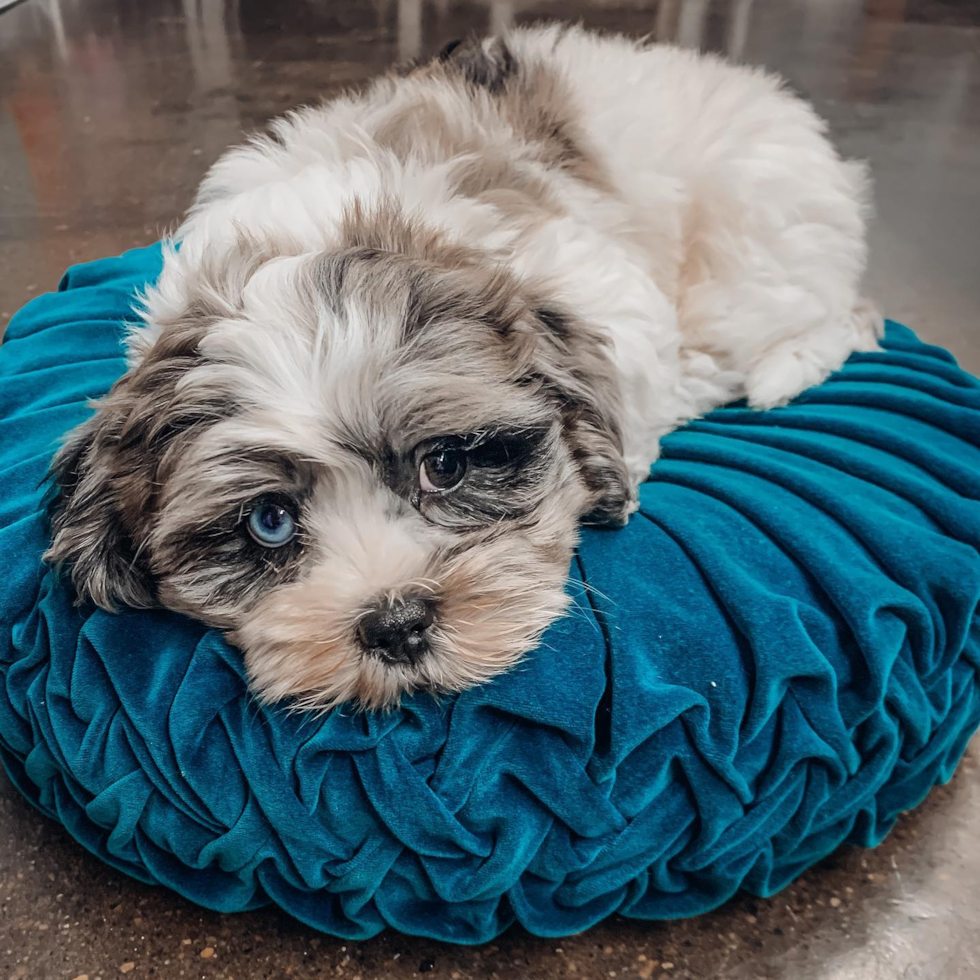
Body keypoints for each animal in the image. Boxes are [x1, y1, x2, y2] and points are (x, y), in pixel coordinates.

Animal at [44, 24, 880, 712]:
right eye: (269, 522)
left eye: (445, 465)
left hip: (754, 248)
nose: (397, 624)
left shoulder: (603, 291)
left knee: (818, 319)